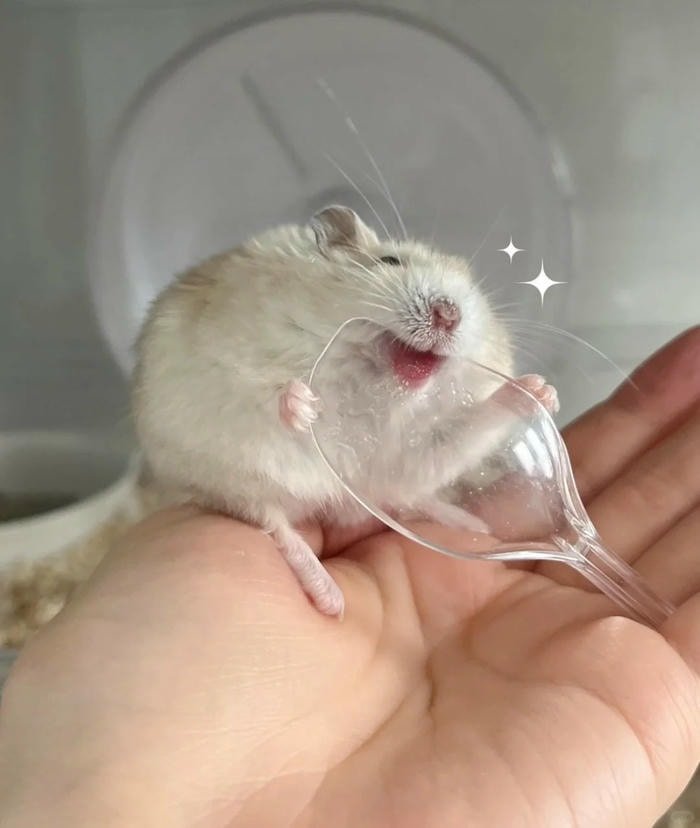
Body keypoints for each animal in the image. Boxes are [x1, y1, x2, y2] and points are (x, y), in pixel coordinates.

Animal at [132, 206, 558, 617]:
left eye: (474, 291)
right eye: (389, 261)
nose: (448, 313)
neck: (374, 384)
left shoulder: (417, 447)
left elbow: (463, 428)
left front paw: (541, 392)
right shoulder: (224, 367)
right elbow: (258, 393)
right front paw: (304, 405)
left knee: (404, 497)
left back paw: (470, 522)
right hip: (222, 479)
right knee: (275, 523)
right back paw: (330, 599)